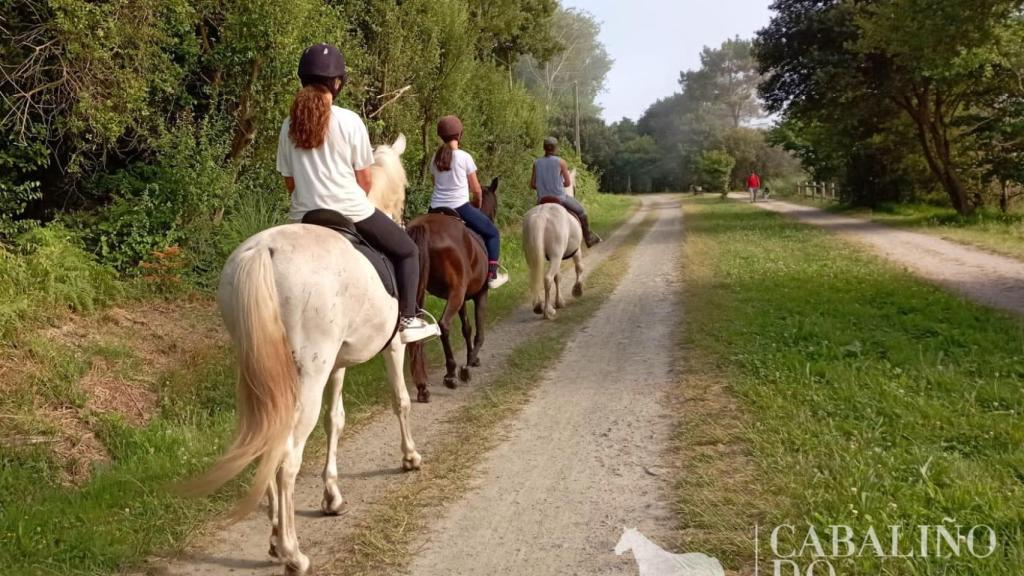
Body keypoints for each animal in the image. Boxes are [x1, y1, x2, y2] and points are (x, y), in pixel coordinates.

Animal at [184, 133, 419, 569]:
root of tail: (264, 250)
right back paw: (293, 552)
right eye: (408, 184)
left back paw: (277, 539)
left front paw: (332, 497)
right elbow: (401, 400)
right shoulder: (392, 346)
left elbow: (336, 420)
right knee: (289, 457)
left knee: (269, 442)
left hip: (259, 373)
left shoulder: (338, 365)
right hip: (307, 376)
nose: (402, 219)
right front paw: (410, 457)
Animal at [409, 177, 501, 401]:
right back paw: (451, 373)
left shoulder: (462, 298)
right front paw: (467, 366)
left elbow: (466, 328)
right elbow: (479, 332)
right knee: (443, 325)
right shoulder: (479, 294)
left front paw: (472, 360)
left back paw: (423, 387)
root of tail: (424, 226)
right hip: (456, 293)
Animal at [524, 166, 589, 317]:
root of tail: (541, 216)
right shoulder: (576, 250)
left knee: (536, 277)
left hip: (534, 255)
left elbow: (558, 277)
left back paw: (539, 306)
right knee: (547, 278)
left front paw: (559, 301)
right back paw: (548, 311)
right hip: (556, 255)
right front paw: (577, 290)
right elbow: (579, 267)